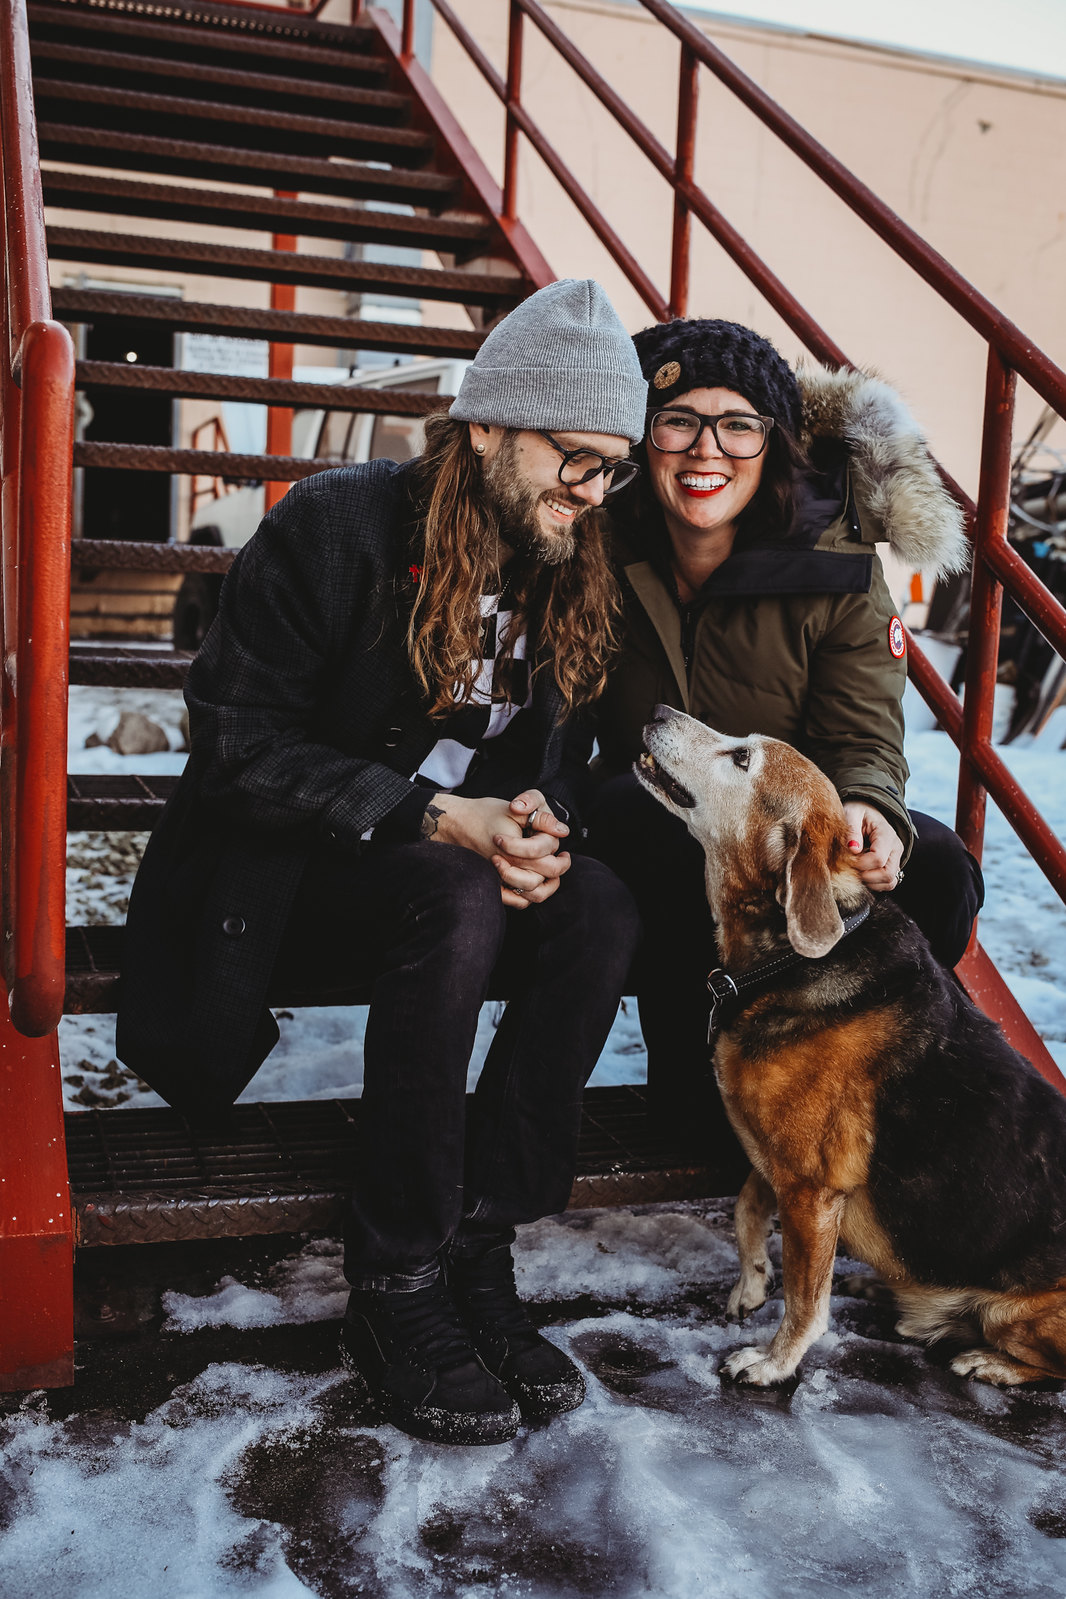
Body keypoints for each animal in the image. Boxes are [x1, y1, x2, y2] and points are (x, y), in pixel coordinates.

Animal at [636, 705, 1066, 1388]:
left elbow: (806, 1300)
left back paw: (988, 1362)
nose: (656, 710)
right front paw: (751, 1282)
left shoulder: (812, 1187)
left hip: (1015, 1316)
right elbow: (746, 1208)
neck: (788, 957)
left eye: (741, 758)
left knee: (1043, 1364)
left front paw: (774, 1361)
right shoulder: (779, 1161)